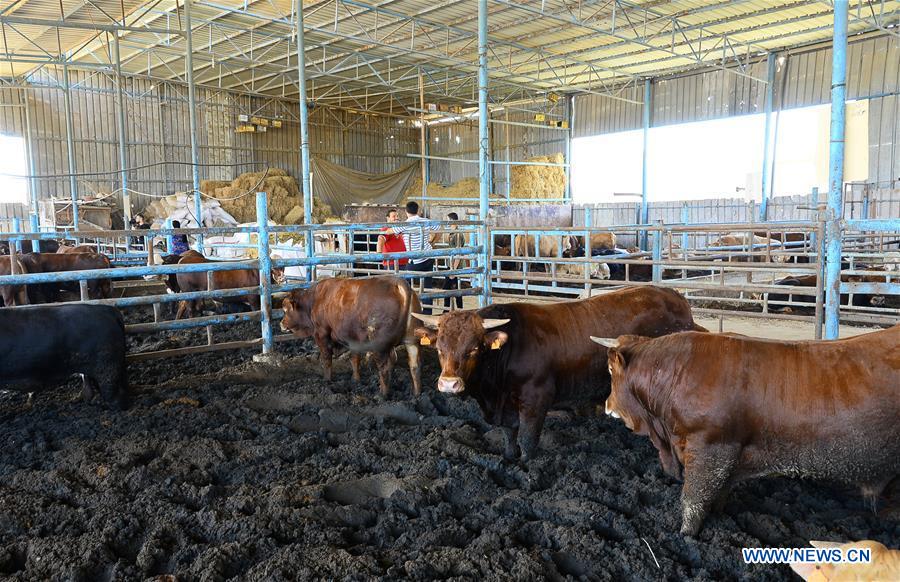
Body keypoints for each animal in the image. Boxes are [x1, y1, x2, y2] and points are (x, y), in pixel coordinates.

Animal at [282, 278, 422, 396]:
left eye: (286, 310)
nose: (281, 323)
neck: (315, 300)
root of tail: (398, 283)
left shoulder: (322, 333)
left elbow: (326, 359)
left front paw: (327, 380)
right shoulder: (354, 338)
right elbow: (354, 358)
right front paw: (355, 380)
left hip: (380, 345)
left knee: (385, 367)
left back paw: (383, 394)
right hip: (412, 340)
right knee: (414, 366)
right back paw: (416, 394)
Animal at [414, 286, 704, 464]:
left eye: (474, 348)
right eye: (439, 348)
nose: (449, 384)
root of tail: (676, 299)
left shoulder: (536, 399)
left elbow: (528, 438)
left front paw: (526, 466)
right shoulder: (506, 405)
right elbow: (509, 434)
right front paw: (509, 457)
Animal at [592, 326, 900, 536]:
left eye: (610, 370)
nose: (606, 404)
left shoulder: (710, 447)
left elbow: (693, 498)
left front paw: (685, 536)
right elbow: (718, 493)